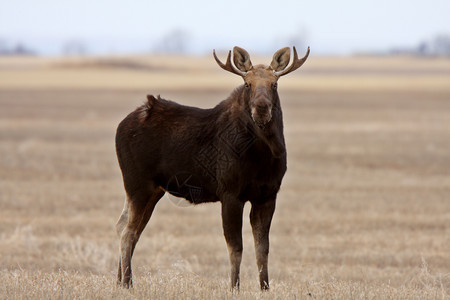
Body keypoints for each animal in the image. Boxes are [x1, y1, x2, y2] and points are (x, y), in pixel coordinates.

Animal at [115, 45, 310, 290]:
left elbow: (262, 249)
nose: (261, 108)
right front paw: (234, 287)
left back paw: (119, 281)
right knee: (128, 232)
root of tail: (121, 125)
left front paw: (265, 288)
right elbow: (236, 248)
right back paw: (127, 283)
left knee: (123, 224)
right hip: (138, 184)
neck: (264, 157)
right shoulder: (230, 194)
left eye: (274, 84)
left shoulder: (267, 195)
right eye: (247, 84)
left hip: (152, 189)